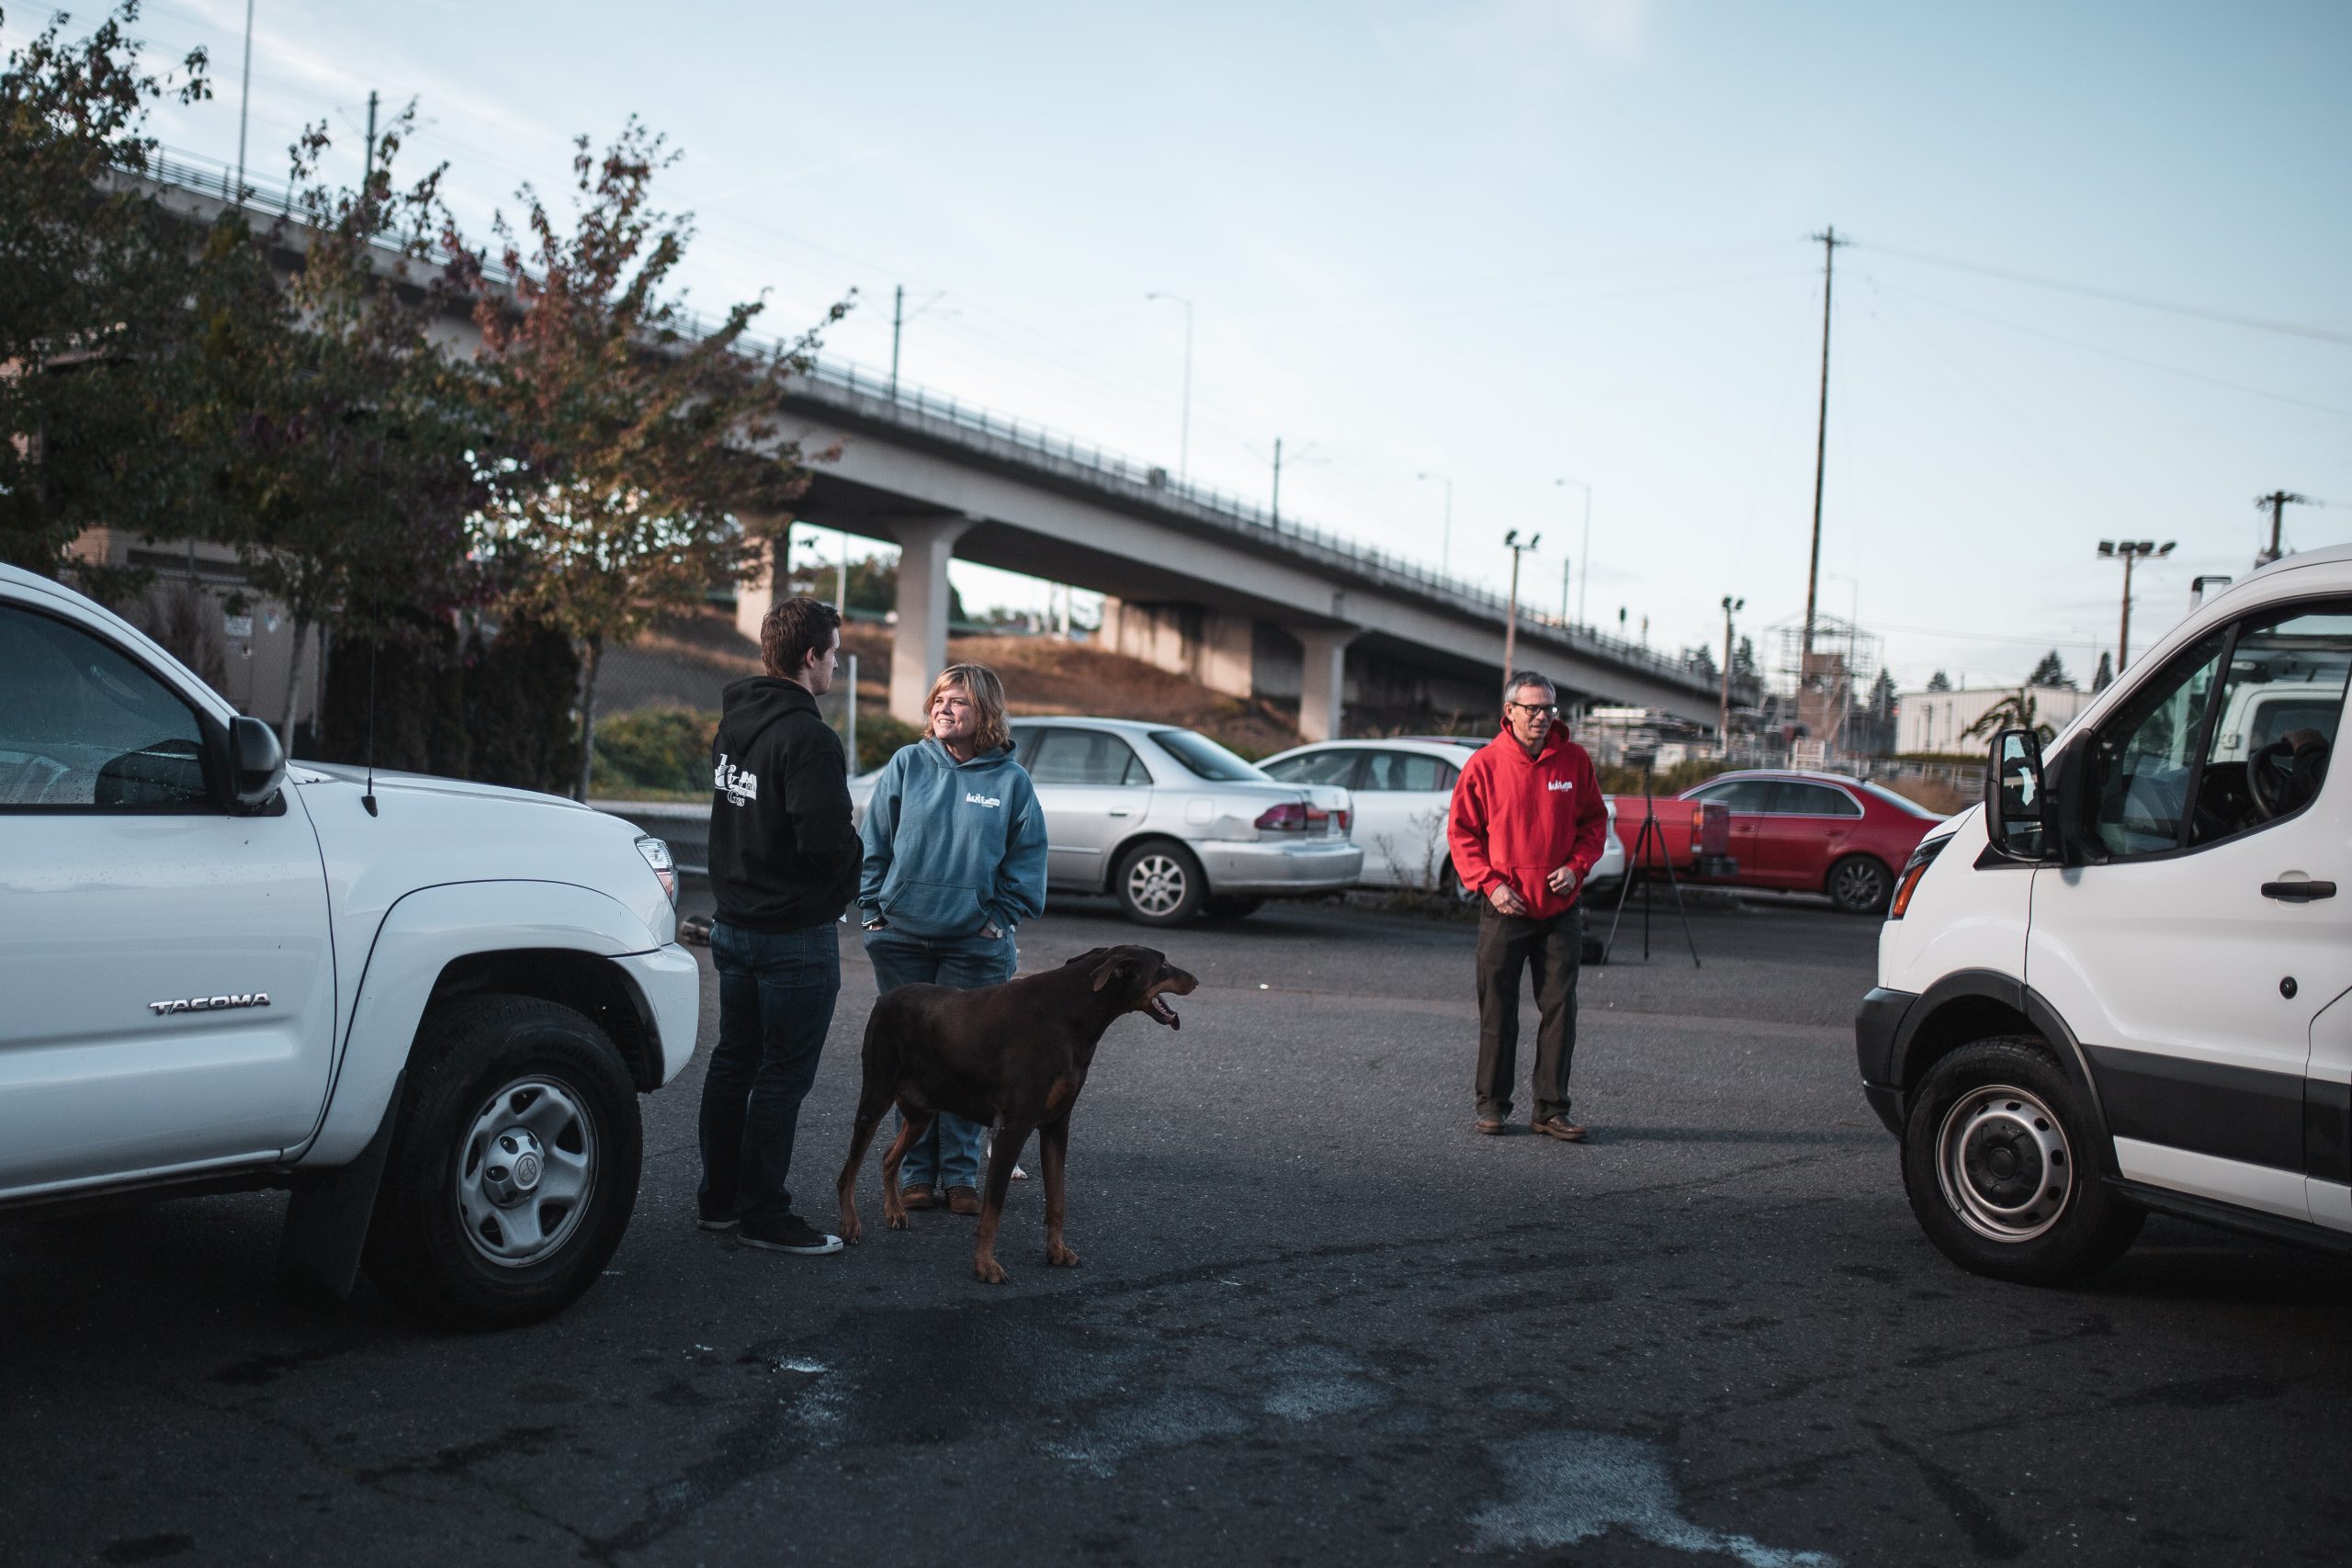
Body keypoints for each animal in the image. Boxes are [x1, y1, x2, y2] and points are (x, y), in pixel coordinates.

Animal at [832, 949, 1194, 1279]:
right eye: (1163, 963)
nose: (1195, 980)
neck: (1072, 1015)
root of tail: (884, 998)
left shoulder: (1056, 1125)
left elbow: (1057, 1199)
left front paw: (1057, 1251)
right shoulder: (1013, 1128)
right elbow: (993, 1207)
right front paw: (985, 1265)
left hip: (921, 1112)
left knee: (888, 1156)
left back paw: (894, 1211)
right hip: (875, 1097)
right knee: (848, 1171)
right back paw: (850, 1225)